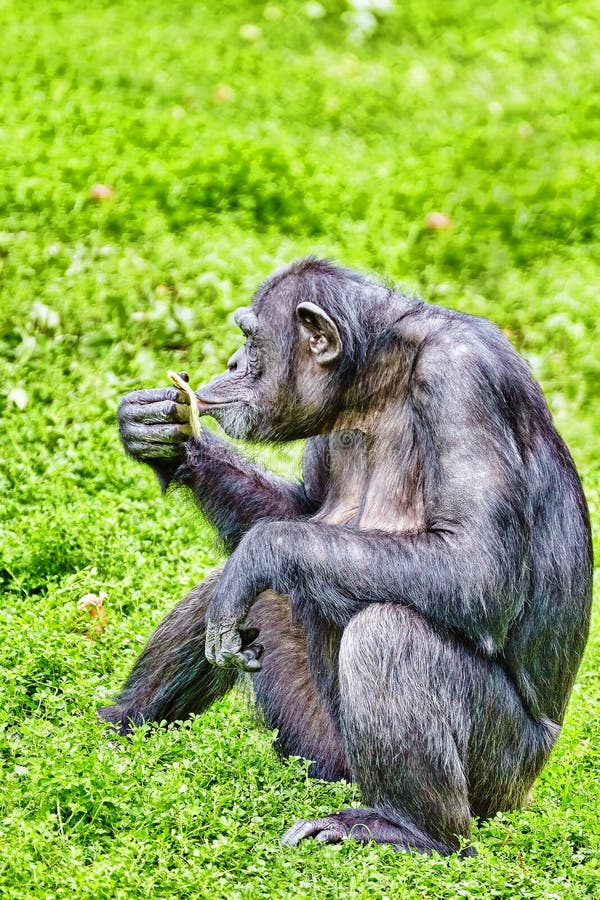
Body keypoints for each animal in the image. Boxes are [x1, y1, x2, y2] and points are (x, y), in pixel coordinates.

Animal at [98, 256, 592, 856]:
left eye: (250, 338)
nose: (232, 361)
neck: (377, 384)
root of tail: (527, 792)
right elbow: (298, 512)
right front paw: (166, 436)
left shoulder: (462, 381)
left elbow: (476, 564)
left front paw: (258, 551)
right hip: (324, 753)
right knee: (256, 594)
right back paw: (114, 725)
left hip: (500, 776)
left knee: (389, 632)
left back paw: (410, 828)